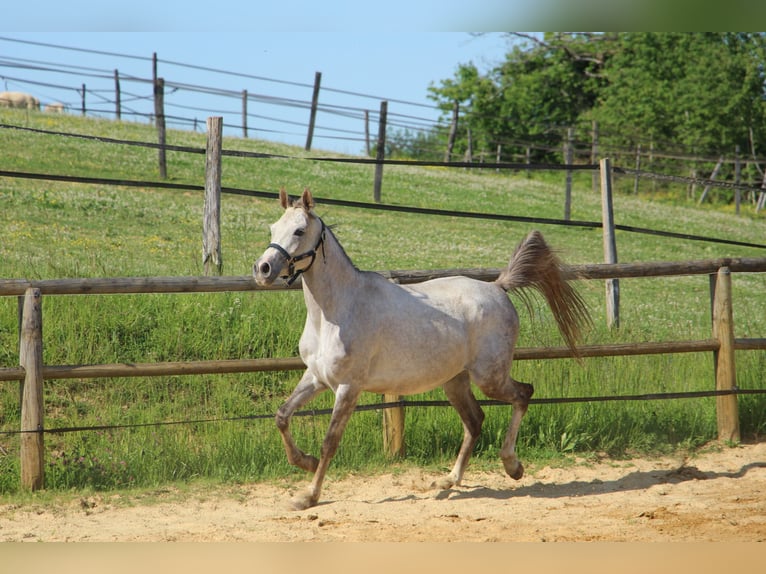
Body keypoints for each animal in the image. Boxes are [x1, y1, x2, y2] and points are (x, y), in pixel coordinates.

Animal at [255, 190, 592, 512]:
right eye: (273, 227)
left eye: (299, 230)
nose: (263, 269)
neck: (335, 312)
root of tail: (498, 287)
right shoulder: (317, 377)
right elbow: (282, 416)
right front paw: (305, 462)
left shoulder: (349, 387)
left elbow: (330, 442)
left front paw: (308, 497)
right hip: (455, 381)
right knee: (475, 421)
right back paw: (447, 480)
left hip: (490, 377)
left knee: (523, 394)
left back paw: (513, 466)